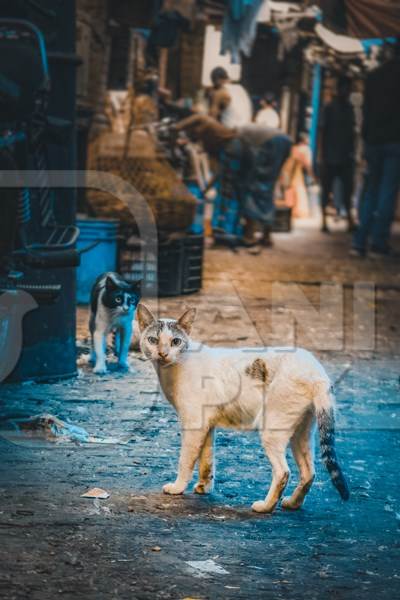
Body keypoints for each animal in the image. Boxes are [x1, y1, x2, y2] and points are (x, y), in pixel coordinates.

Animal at [136, 308, 348, 512]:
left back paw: (265, 507)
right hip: (301, 432)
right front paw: (204, 487)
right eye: (153, 340)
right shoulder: (206, 424)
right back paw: (292, 504)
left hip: (273, 429)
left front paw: (178, 488)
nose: (162, 353)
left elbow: (186, 460)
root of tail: (317, 372)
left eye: (176, 342)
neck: (174, 368)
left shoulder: (193, 424)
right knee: (309, 472)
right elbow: (206, 460)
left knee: (283, 472)